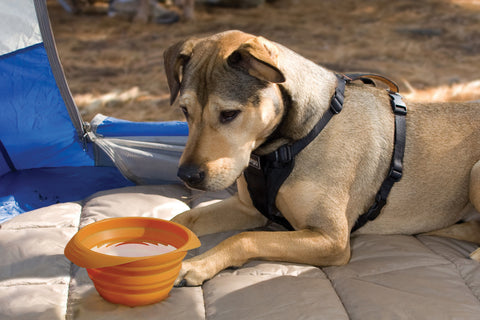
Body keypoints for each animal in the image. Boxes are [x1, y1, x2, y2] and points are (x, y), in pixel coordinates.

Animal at [164, 29, 480, 284]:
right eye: (185, 110)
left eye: (229, 114)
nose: (187, 176)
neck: (285, 144)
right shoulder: (247, 208)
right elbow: (183, 219)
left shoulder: (331, 240)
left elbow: (245, 239)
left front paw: (197, 265)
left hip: (476, 171)